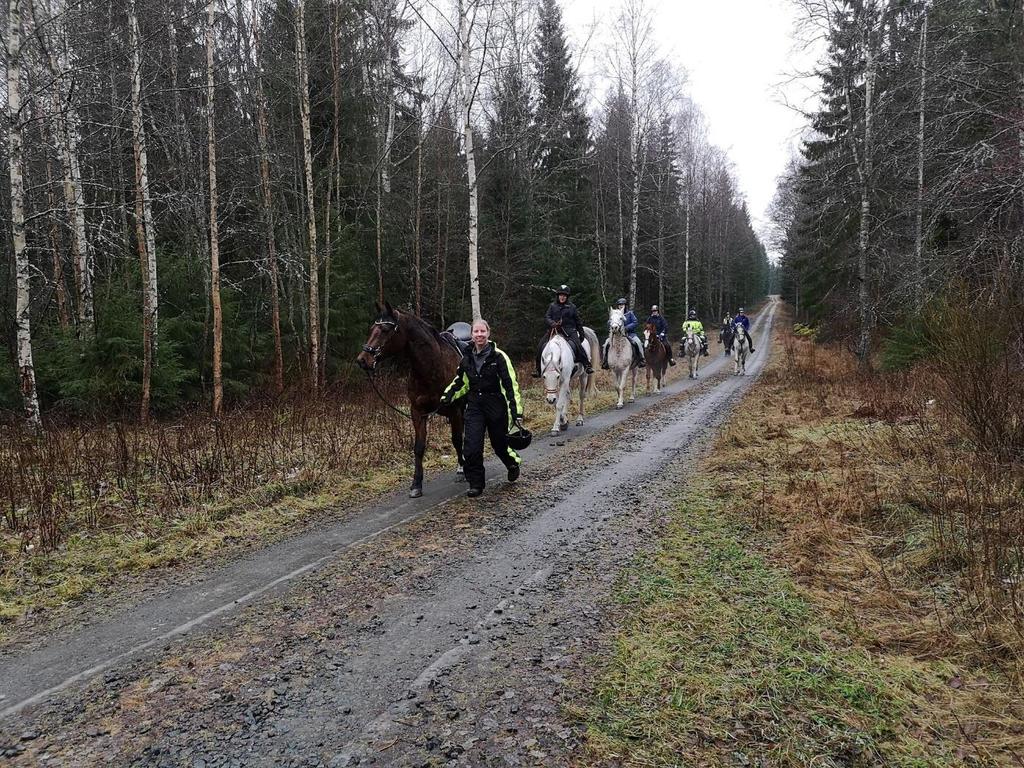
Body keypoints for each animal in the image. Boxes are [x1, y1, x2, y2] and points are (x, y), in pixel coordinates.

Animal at [354, 303, 462, 501]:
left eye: (385, 329)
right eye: (371, 329)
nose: (363, 360)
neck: (433, 367)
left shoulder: (454, 409)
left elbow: (457, 440)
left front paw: (463, 470)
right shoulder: (417, 412)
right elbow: (419, 448)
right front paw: (416, 484)